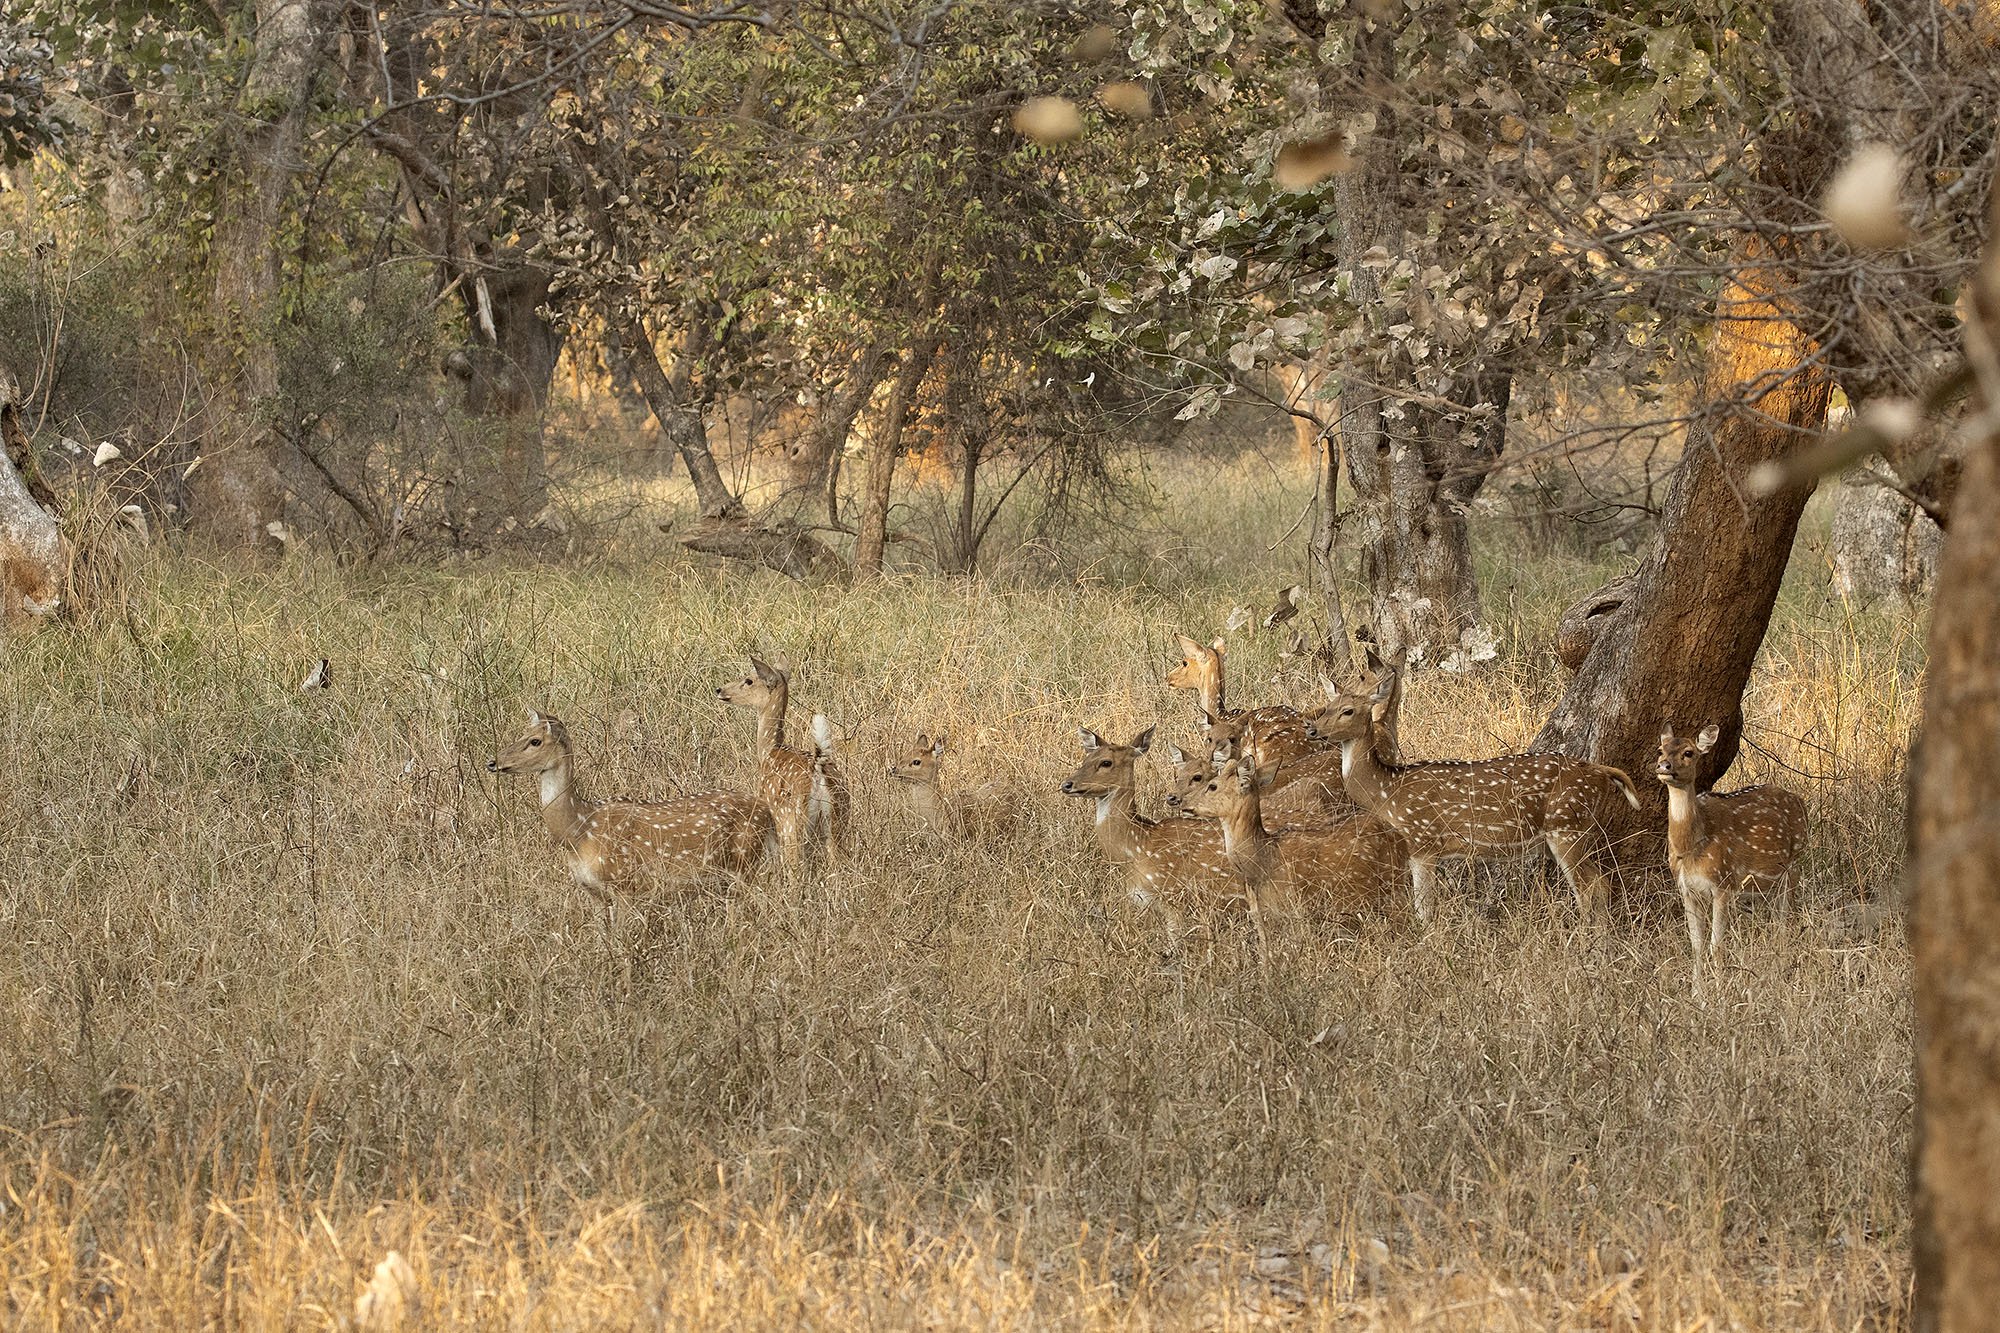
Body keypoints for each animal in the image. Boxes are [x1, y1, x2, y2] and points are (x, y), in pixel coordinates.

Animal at [487, 711, 776, 896]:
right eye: (522, 734)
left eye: (535, 741)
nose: (492, 762)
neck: (579, 830)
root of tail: (767, 811)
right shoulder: (593, 892)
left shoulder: (625, 883)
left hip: (744, 863)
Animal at [716, 657, 850, 867]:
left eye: (749, 680)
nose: (720, 690)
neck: (768, 752)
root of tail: (818, 770)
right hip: (838, 821)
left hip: (792, 823)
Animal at [1306, 673, 1641, 924]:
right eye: (1327, 706)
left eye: (1348, 710)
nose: (1313, 730)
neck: (1388, 794)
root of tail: (1599, 771)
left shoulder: (1422, 841)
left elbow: (1425, 909)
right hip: (1565, 833)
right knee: (1599, 883)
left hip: (1567, 826)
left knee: (1591, 887)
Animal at [1655, 724, 1809, 998]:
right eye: (1660, 749)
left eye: (1688, 752)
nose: (1664, 766)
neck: (1691, 847)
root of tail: (1800, 801)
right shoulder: (1686, 889)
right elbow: (1696, 944)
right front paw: (1696, 994)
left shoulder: (1723, 883)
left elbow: (1716, 945)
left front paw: (1719, 994)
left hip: (1793, 864)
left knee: (1786, 921)